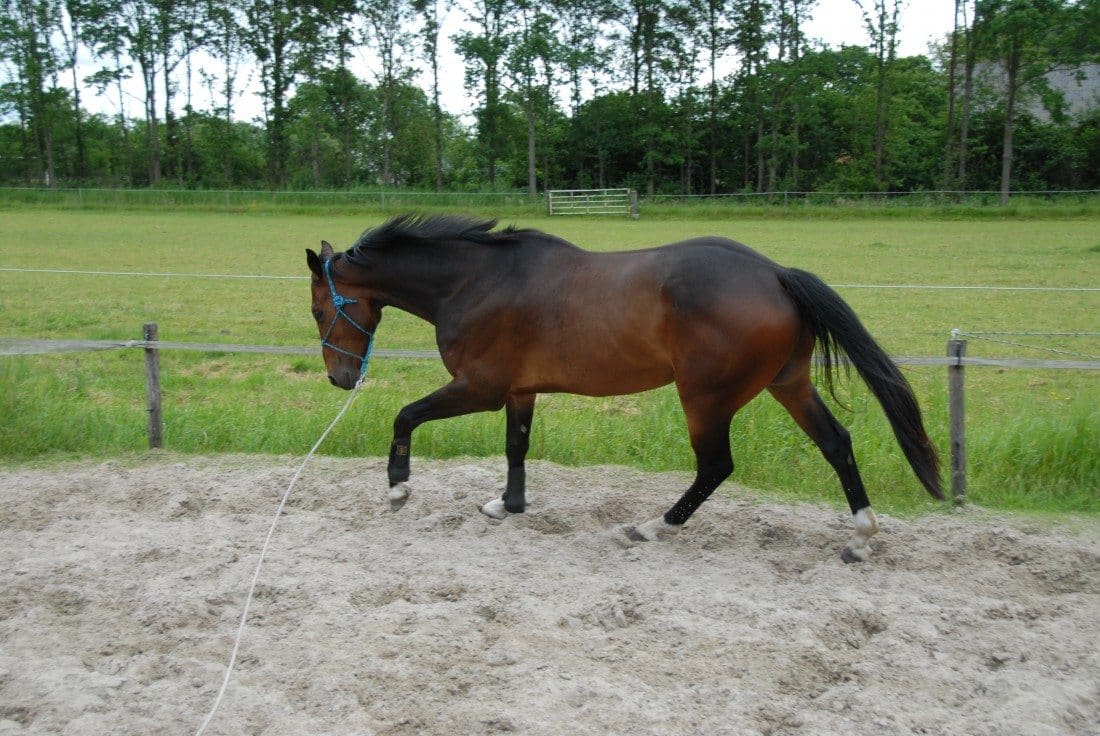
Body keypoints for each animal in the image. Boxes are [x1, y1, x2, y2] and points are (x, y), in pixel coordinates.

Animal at [305, 213, 941, 563]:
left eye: (317, 309)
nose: (340, 378)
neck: (476, 281)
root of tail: (776, 274)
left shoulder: (478, 387)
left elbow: (405, 416)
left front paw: (398, 489)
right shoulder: (518, 391)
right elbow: (516, 447)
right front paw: (507, 505)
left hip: (705, 397)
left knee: (716, 465)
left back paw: (652, 526)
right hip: (789, 384)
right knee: (837, 443)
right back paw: (861, 537)